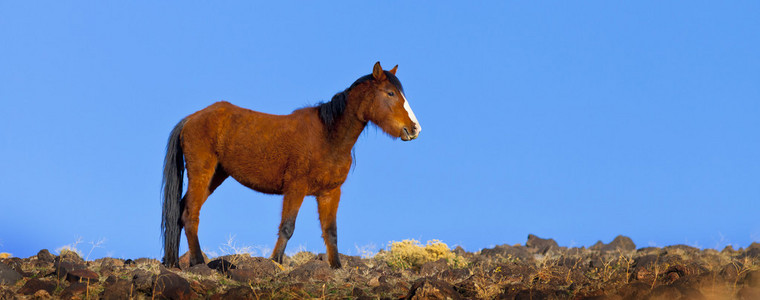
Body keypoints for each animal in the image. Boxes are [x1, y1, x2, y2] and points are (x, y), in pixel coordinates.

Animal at [161, 62, 422, 268]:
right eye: (390, 93)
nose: (414, 128)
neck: (328, 137)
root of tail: (191, 119)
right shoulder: (296, 188)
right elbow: (287, 227)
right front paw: (275, 262)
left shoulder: (330, 193)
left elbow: (331, 233)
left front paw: (336, 268)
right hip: (202, 172)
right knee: (190, 214)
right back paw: (197, 262)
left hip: (216, 176)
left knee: (180, 212)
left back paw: (174, 262)